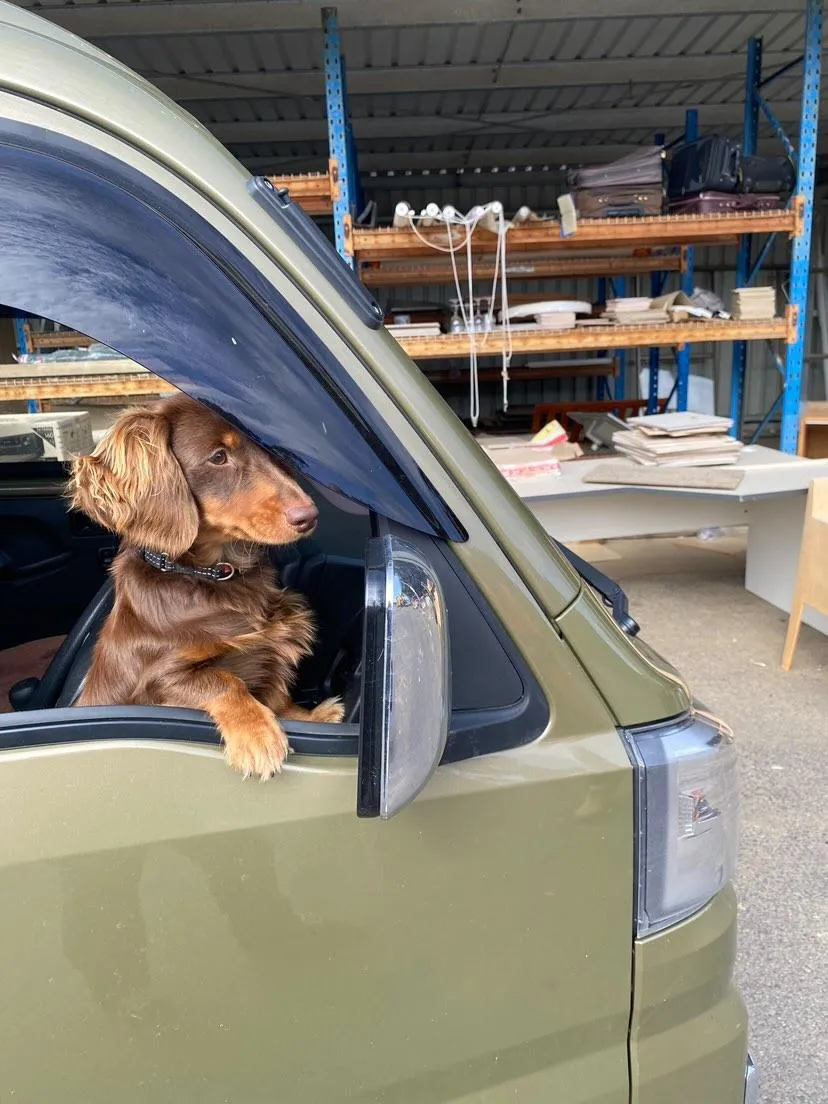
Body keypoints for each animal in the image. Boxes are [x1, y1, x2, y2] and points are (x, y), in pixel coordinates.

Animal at [69, 395, 344, 777]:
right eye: (218, 457)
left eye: (269, 451)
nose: (309, 516)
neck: (211, 575)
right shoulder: (157, 679)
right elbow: (224, 681)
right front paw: (259, 736)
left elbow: (276, 690)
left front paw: (310, 717)